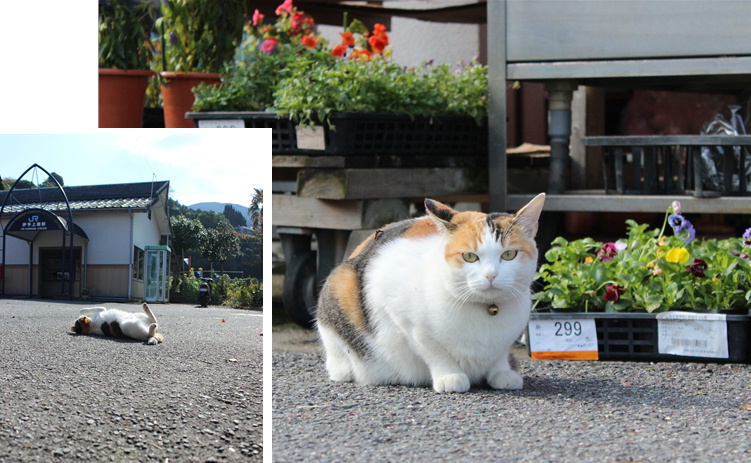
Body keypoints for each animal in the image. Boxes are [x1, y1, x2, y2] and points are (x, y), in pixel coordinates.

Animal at [318, 194, 548, 394]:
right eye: (469, 257)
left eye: (509, 254)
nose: (490, 275)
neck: (487, 311)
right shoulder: (404, 318)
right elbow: (434, 352)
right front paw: (450, 376)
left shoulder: (505, 342)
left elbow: (499, 355)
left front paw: (502, 372)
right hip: (339, 288)